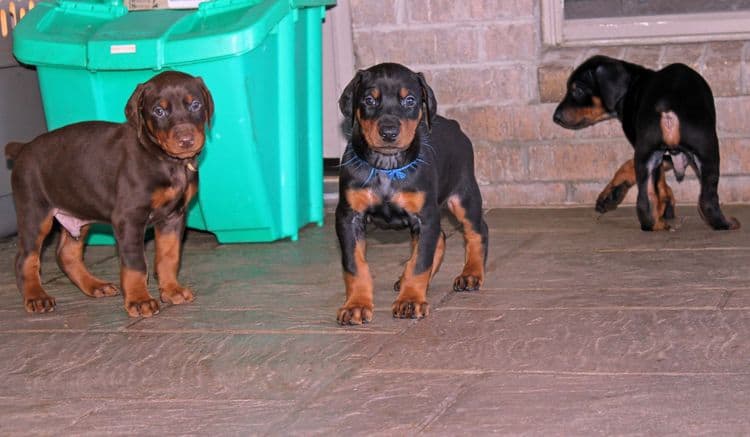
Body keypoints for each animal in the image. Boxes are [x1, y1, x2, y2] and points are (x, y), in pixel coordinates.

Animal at [6, 71, 214, 316]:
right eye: (158, 111)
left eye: (195, 104)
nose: (186, 140)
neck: (165, 160)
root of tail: (23, 148)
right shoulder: (129, 218)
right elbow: (135, 264)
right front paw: (139, 300)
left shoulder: (174, 216)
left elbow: (169, 256)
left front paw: (172, 290)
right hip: (35, 213)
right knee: (25, 258)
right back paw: (36, 296)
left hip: (78, 212)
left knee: (66, 254)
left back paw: (95, 285)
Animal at [334, 63, 488, 326]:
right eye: (369, 100)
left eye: (410, 100)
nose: (388, 132)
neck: (387, 166)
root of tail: (454, 124)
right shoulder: (348, 217)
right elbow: (355, 265)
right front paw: (356, 305)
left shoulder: (425, 216)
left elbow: (420, 263)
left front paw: (410, 301)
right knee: (440, 237)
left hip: (463, 194)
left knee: (476, 230)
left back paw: (471, 274)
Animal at [552, 55, 740, 228]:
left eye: (577, 90)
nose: (556, 117)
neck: (631, 87)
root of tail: (666, 103)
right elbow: (655, 178)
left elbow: (647, 174)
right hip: (706, 148)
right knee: (707, 200)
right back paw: (726, 223)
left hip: (652, 152)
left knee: (645, 200)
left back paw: (655, 223)